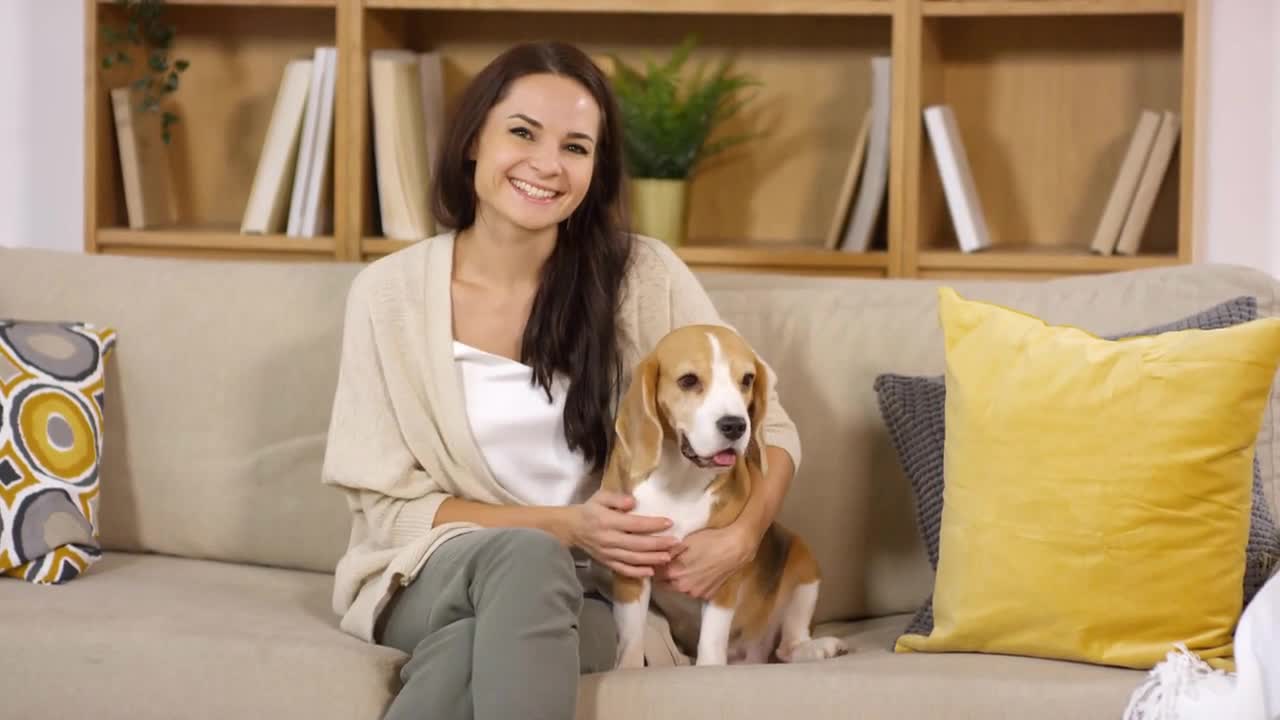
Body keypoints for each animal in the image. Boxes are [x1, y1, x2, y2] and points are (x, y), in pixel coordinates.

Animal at [601, 322, 844, 666]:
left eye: (747, 379)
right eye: (688, 380)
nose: (735, 425)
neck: (681, 481)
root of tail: (751, 656)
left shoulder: (723, 567)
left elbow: (712, 642)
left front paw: (709, 669)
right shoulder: (630, 568)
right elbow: (632, 640)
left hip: (803, 562)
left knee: (788, 645)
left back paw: (817, 647)